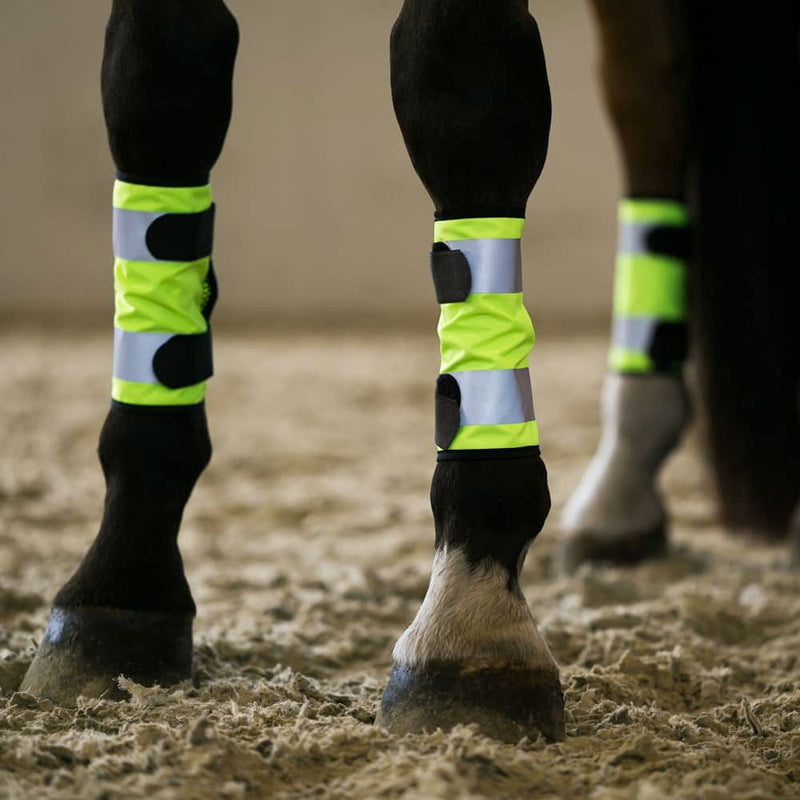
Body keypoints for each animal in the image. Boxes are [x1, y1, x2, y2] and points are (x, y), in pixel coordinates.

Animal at [18, 0, 800, 746]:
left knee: (650, 95)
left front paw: (469, 609)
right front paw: (122, 577)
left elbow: (461, 88)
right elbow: (157, 82)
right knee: (646, 88)